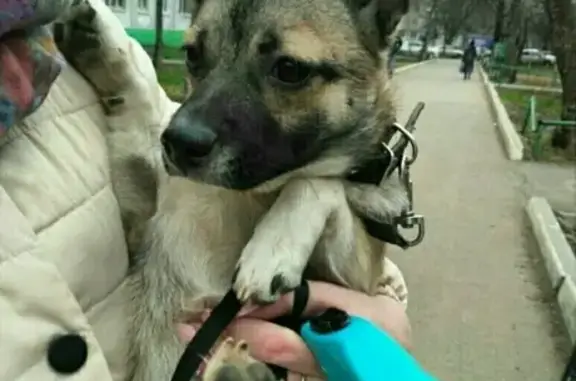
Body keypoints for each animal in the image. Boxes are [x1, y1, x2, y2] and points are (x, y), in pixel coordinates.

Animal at [57, 0, 410, 378]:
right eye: (192, 54)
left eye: (289, 69)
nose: (178, 143)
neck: (247, 193)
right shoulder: (139, 216)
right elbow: (136, 113)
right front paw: (103, 44)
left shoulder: (360, 277)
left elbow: (318, 183)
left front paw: (271, 249)